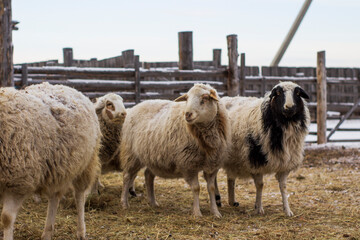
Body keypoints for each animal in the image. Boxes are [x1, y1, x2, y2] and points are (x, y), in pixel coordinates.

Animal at [0, 83, 101, 240]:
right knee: (54, 197)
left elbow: (6, 218)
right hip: (59, 169)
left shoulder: (18, 183)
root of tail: (71, 88)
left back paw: (81, 231)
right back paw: (48, 231)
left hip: (86, 164)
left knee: (79, 196)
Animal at [120, 84, 231, 218]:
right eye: (187, 99)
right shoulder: (188, 164)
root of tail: (135, 106)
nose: (187, 114)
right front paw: (197, 213)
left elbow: (211, 188)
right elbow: (196, 188)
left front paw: (215, 212)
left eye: (204, 98)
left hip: (153, 156)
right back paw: (124, 203)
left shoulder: (213, 166)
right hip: (131, 154)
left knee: (148, 175)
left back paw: (153, 202)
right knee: (127, 176)